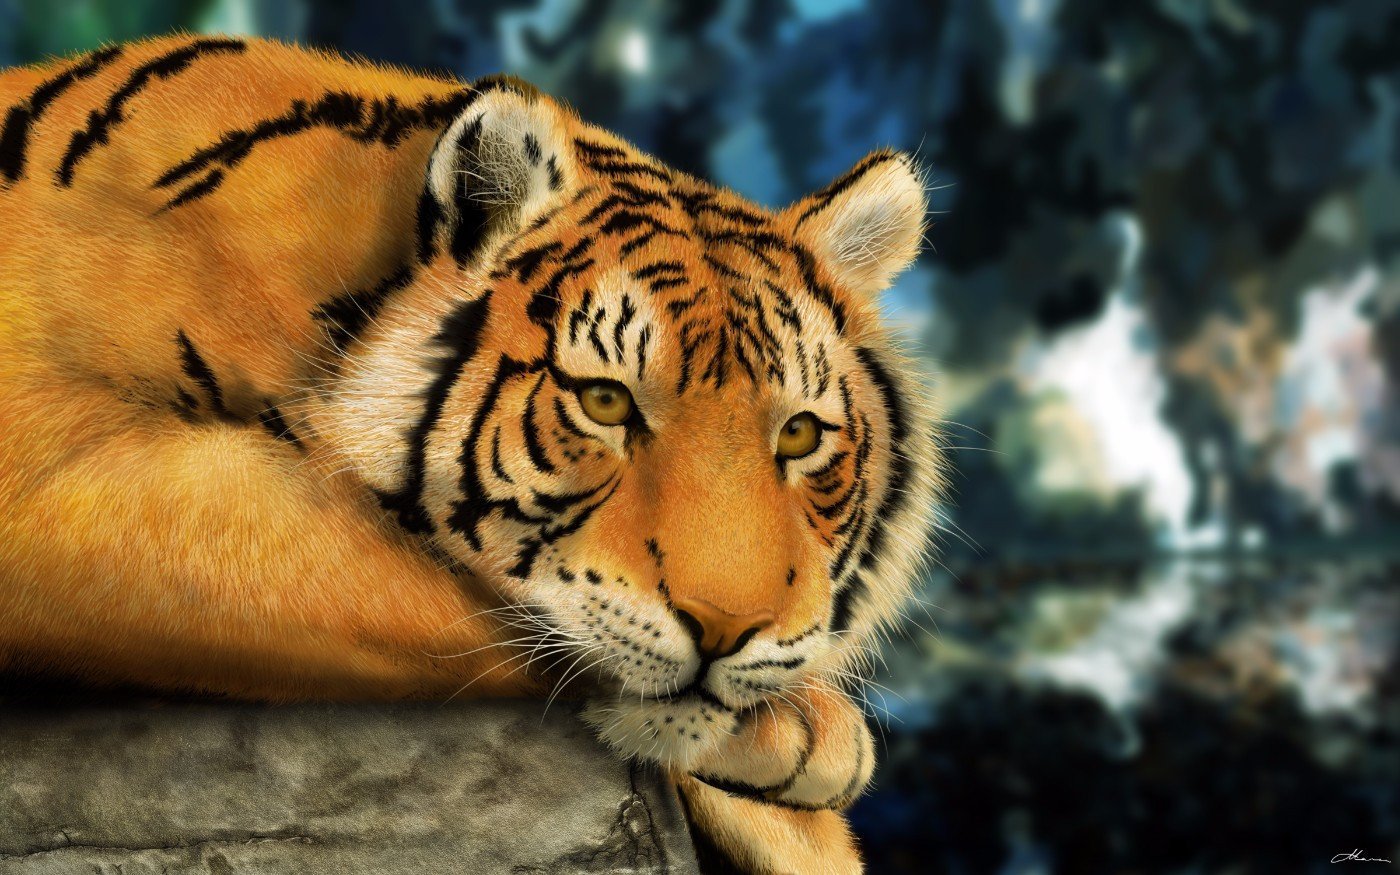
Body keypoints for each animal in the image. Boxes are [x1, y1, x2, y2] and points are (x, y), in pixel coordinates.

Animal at [0, 35, 943, 874]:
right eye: (604, 400)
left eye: (800, 434)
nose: (726, 629)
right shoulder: (56, 466)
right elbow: (434, 596)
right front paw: (810, 740)